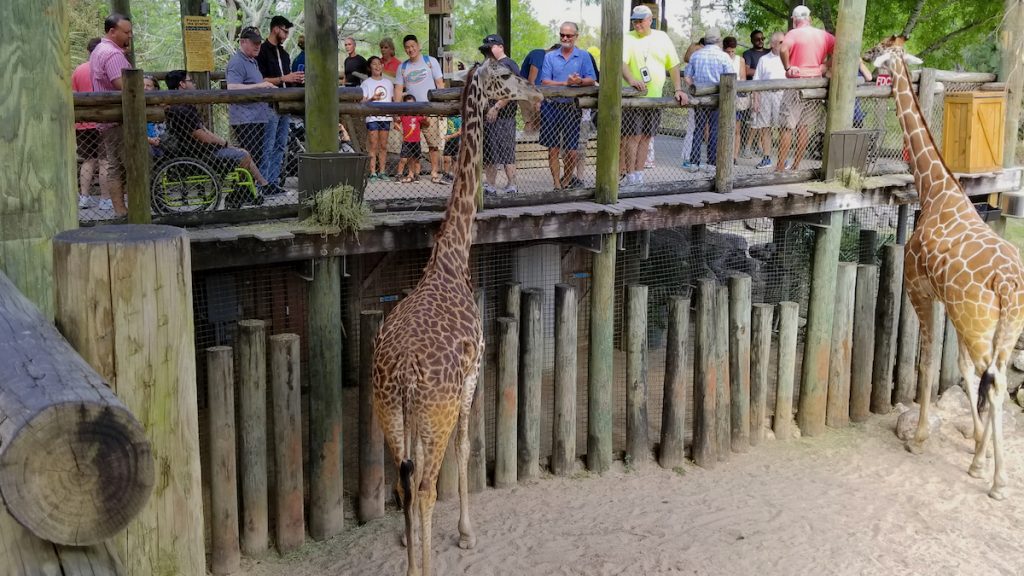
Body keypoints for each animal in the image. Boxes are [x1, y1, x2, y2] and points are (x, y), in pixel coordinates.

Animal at [370, 60, 544, 569]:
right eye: (508, 74)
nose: (538, 93)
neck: (449, 259)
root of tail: (405, 374)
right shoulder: (472, 377)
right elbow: (468, 446)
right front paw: (467, 533)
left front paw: (408, 539)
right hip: (436, 411)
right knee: (426, 486)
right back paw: (425, 567)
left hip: (391, 412)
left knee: (404, 482)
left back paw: (412, 557)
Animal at [868, 34, 1024, 498]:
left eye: (880, 50)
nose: (866, 58)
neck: (935, 189)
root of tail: (1007, 283)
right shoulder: (952, 307)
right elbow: (963, 372)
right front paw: (977, 445)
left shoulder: (920, 290)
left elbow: (925, 364)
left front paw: (919, 438)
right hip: (1002, 328)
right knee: (996, 378)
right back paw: (983, 464)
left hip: (978, 323)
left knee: (995, 384)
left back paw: (997, 481)